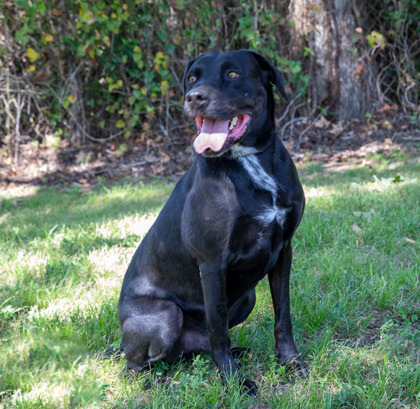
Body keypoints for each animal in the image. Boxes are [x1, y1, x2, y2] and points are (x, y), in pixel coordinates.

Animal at [118, 48, 306, 396]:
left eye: (232, 74)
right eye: (193, 78)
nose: (194, 97)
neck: (248, 160)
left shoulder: (283, 250)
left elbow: (282, 315)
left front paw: (290, 361)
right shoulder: (212, 262)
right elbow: (219, 330)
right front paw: (233, 381)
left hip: (247, 297)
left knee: (195, 348)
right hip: (164, 317)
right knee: (136, 365)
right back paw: (155, 381)